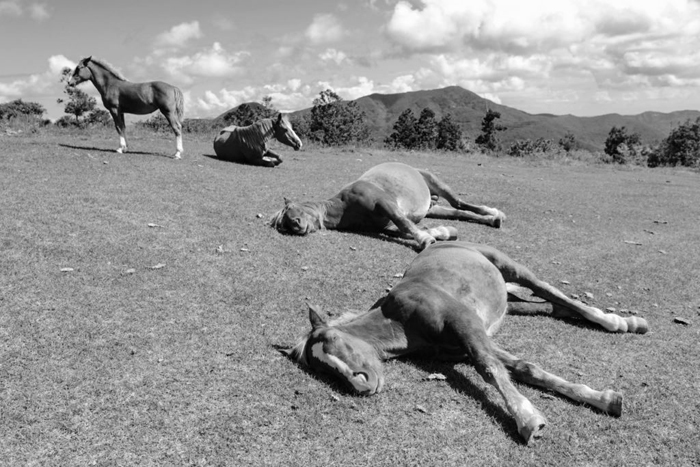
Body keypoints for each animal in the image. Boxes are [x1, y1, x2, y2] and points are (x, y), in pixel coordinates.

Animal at [270, 162, 505, 250]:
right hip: (433, 208)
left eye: (288, 210)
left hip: (437, 183)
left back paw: (494, 213)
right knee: (459, 212)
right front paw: (442, 233)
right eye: (283, 226)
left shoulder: (385, 204)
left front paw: (426, 239)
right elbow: (404, 229)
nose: (294, 225)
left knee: (460, 203)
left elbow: (404, 223)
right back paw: (491, 219)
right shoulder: (384, 225)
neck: (344, 206)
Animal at [283, 241, 649, 444]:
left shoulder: (466, 325)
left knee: (556, 295)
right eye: (322, 369)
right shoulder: (467, 342)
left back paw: (619, 322)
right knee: (548, 306)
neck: (401, 318)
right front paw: (604, 399)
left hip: (512, 268)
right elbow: (522, 368)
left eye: (332, 339)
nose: (362, 384)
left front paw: (529, 421)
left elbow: (490, 369)